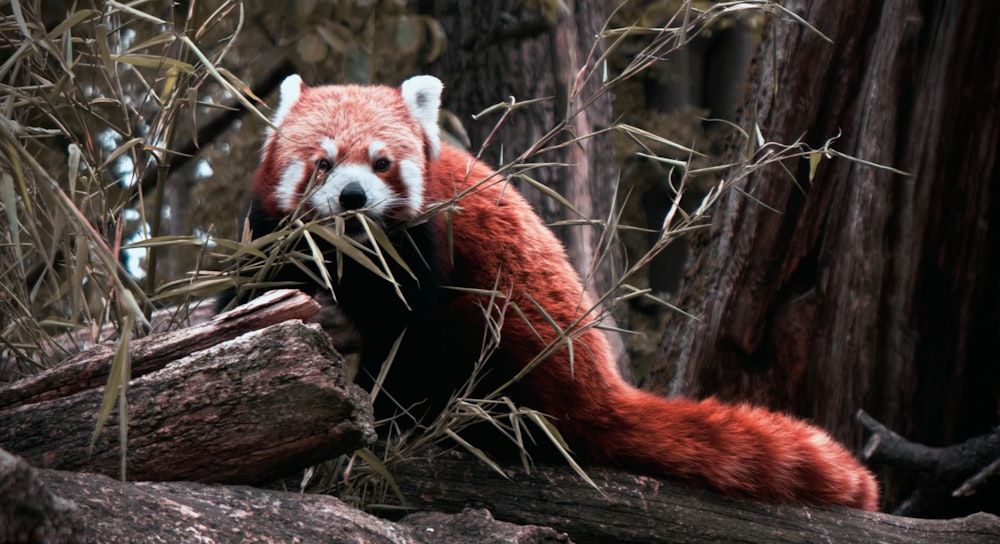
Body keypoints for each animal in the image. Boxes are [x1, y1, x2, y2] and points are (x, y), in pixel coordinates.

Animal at [234, 73, 876, 510]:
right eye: (323, 163)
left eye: (382, 163)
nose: (353, 198)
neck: (351, 252)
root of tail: (599, 385)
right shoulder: (276, 235)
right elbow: (258, 291)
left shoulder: (424, 244)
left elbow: (404, 333)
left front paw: (375, 414)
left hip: (513, 340)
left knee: (465, 345)